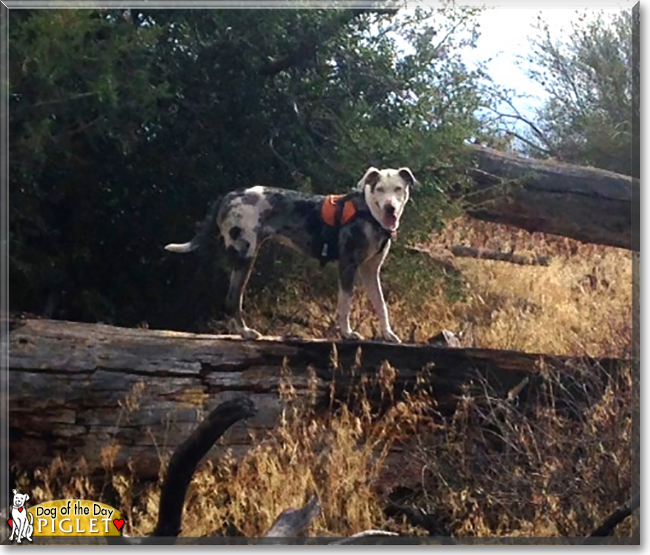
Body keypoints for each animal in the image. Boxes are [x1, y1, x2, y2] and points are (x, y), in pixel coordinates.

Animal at [163, 167, 416, 344]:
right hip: (246, 254)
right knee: (233, 298)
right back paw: (245, 332)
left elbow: (381, 305)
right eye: (379, 189)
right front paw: (346, 333)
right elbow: (345, 304)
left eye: (398, 189)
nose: (390, 208)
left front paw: (387, 334)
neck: (370, 213)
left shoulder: (370, 271)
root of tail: (230, 195)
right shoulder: (348, 265)